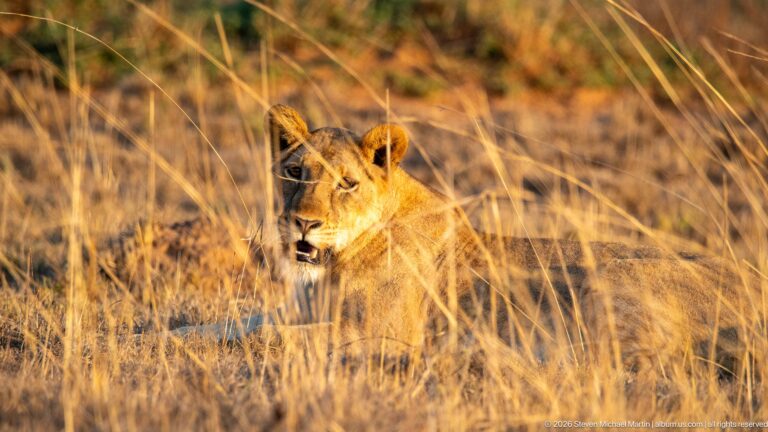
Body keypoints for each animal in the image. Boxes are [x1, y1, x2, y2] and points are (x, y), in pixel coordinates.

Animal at [158, 104, 759, 378]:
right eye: (293, 172)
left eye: (346, 184)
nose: (302, 223)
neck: (335, 260)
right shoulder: (300, 308)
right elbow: (231, 324)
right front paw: (156, 337)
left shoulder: (382, 333)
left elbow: (278, 338)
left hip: (607, 282)